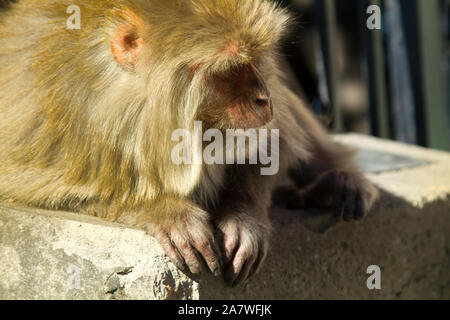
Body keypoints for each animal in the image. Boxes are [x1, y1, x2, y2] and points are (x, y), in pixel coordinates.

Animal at [0, 0, 378, 288]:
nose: (263, 98)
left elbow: (271, 143)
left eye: (253, 59)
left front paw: (242, 215)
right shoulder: (56, 122)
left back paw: (333, 182)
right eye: (230, 69)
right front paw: (163, 210)